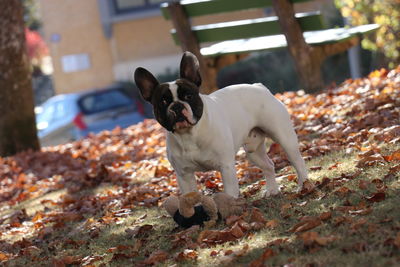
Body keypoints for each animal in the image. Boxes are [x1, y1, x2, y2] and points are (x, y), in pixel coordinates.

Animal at [136, 52, 308, 199]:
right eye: (163, 101)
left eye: (189, 96)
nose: (177, 106)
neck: (189, 135)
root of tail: (258, 86)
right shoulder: (184, 175)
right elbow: (190, 197)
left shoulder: (226, 167)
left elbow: (230, 194)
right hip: (253, 152)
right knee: (268, 166)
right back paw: (272, 190)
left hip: (284, 138)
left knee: (298, 161)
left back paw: (304, 186)